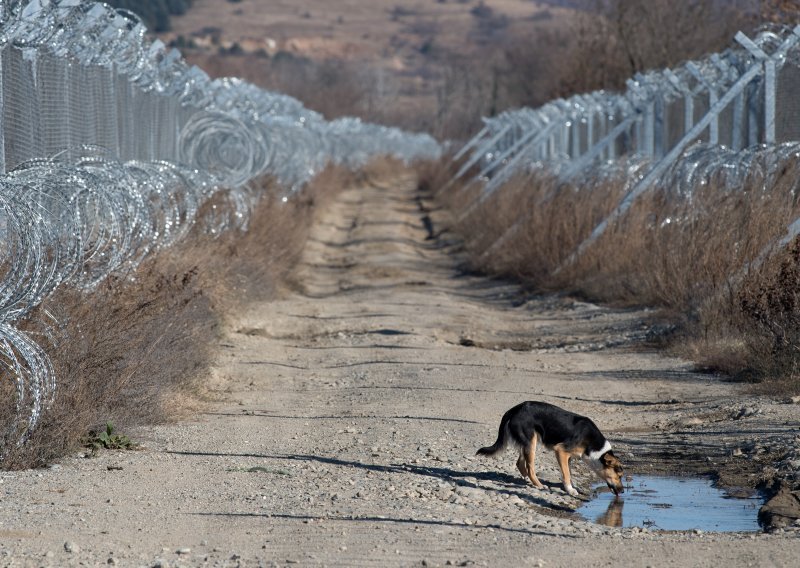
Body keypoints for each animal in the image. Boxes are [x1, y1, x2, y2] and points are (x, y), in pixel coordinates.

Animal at [476, 400, 624, 496]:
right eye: (619, 475)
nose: (623, 491)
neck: (593, 445)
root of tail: (515, 409)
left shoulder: (568, 457)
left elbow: (568, 473)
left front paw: (571, 487)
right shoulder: (561, 451)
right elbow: (566, 474)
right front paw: (570, 490)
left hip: (529, 443)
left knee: (520, 463)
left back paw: (527, 481)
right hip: (531, 442)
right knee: (530, 467)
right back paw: (539, 485)